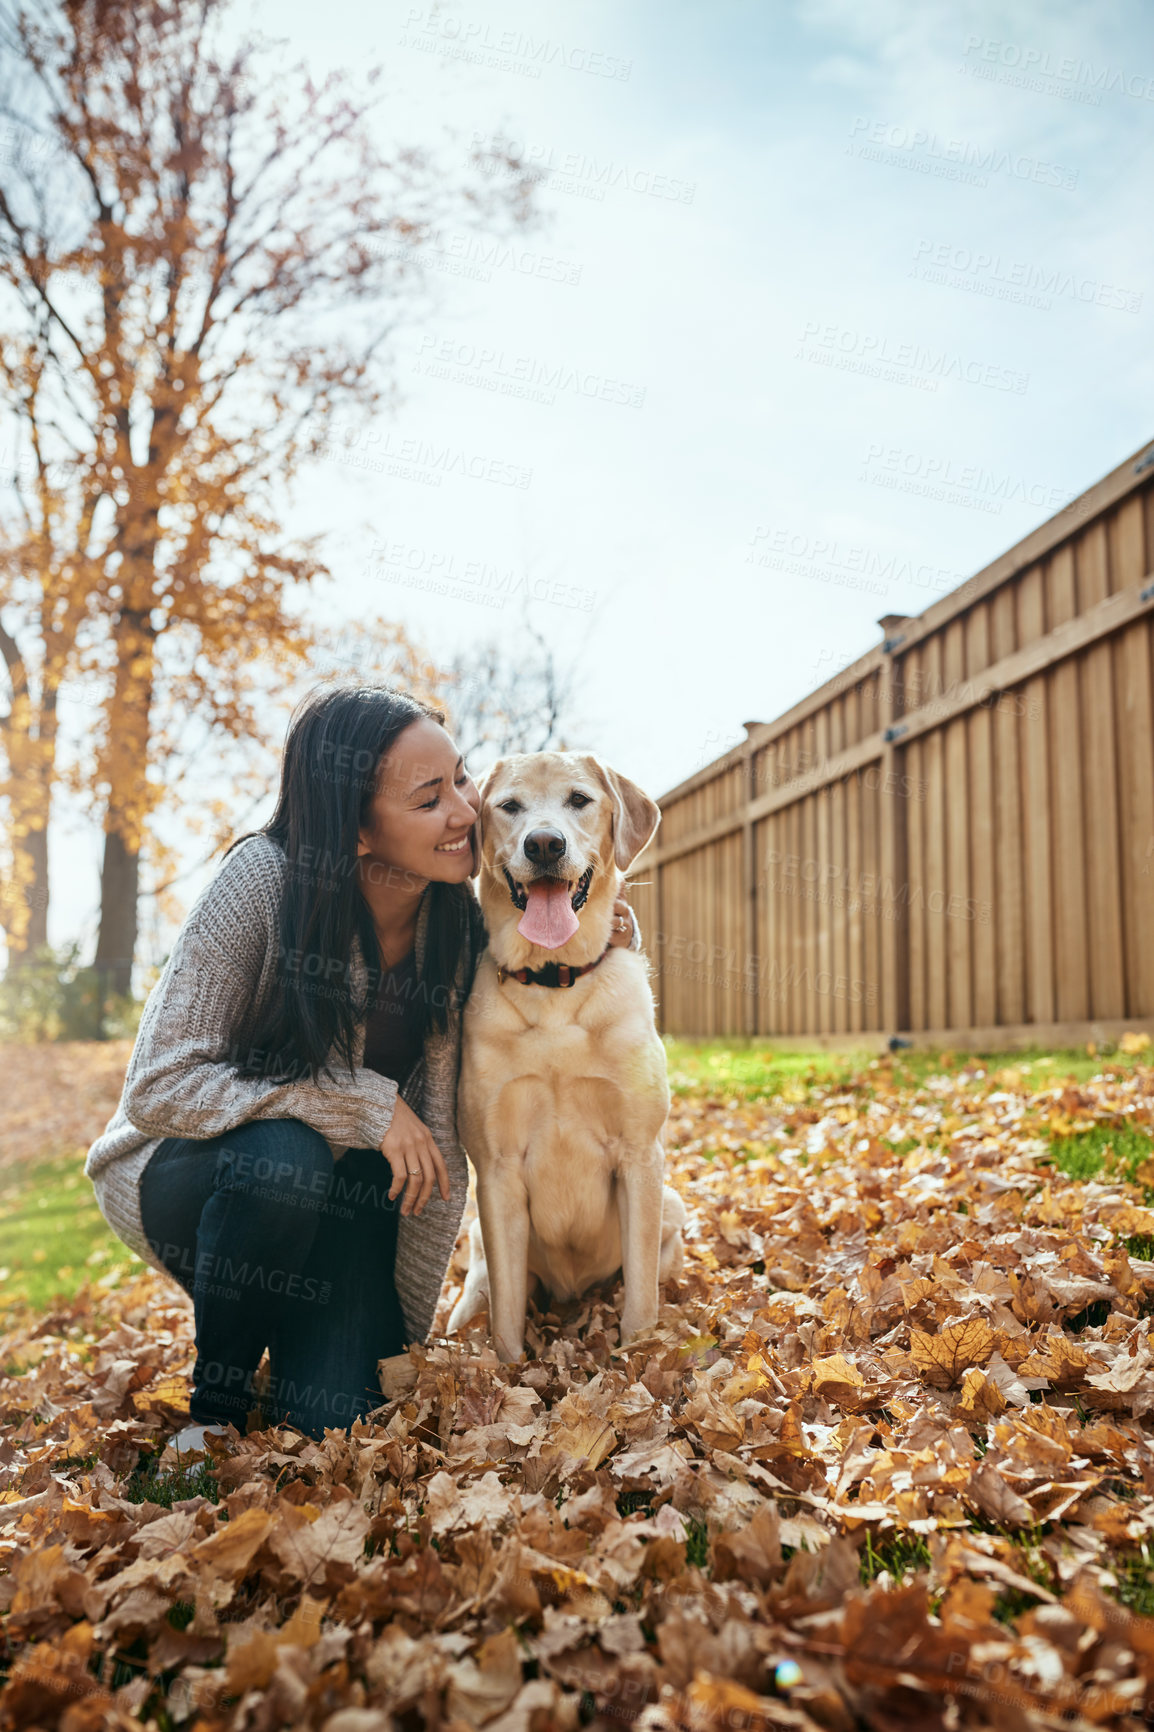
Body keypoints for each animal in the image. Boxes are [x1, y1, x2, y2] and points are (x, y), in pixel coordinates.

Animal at [447, 751, 682, 1357]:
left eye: (579, 799)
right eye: (509, 806)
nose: (545, 844)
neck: (554, 981)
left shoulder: (640, 1154)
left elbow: (641, 1295)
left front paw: (637, 1354)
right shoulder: (498, 1169)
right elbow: (506, 1313)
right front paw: (506, 1368)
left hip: (671, 1203)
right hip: (478, 1237)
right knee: (480, 1290)